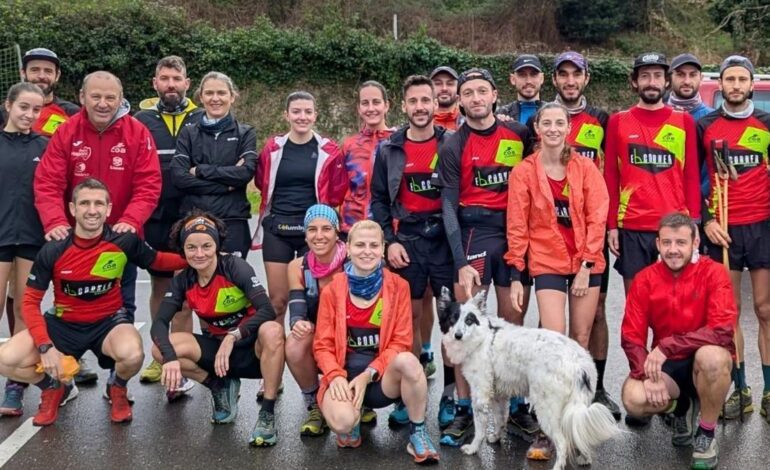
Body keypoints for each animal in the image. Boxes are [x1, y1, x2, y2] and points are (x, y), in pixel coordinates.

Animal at [438, 288, 616, 468]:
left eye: (469, 320)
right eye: (452, 318)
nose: (458, 335)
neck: (484, 337)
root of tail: (577, 363)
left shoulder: (480, 395)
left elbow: (480, 427)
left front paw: (473, 448)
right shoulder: (498, 395)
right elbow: (499, 419)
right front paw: (496, 437)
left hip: (546, 409)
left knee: (563, 442)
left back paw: (558, 466)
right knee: (577, 433)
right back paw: (585, 458)